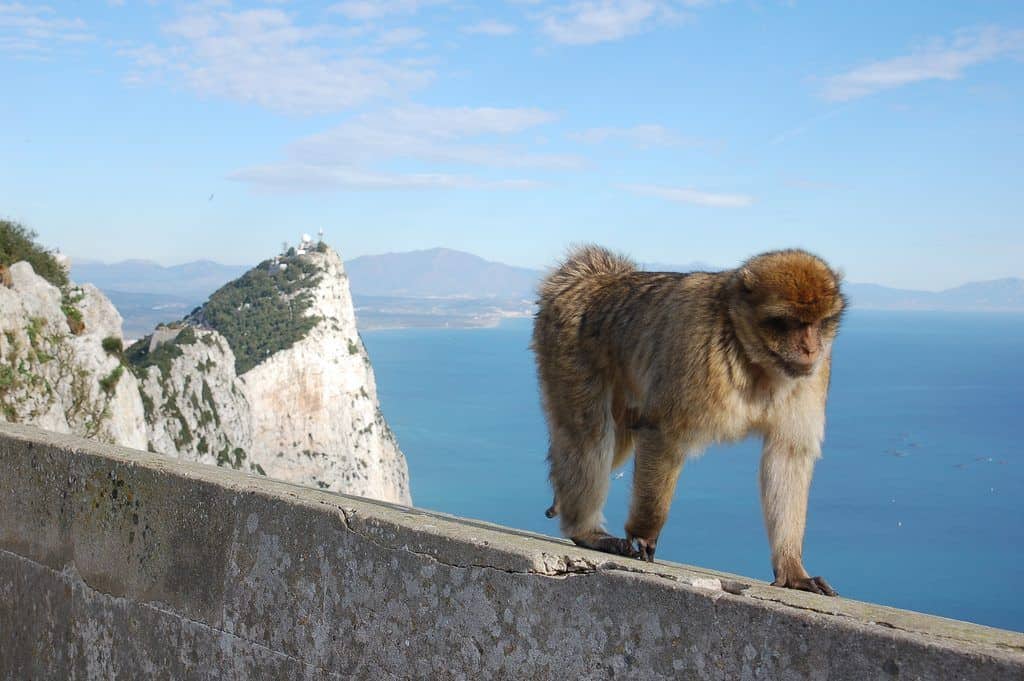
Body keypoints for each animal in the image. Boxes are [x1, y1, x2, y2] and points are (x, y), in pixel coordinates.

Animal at [531, 245, 845, 596]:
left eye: (819, 323)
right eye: (787, 323)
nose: (810, 348)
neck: (752, 357)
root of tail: (594, 279)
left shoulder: (813, 376)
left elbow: (788, 456)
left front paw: (792, 570)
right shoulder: (696, 351)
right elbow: (664, 433)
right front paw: (645, 531)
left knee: (617, 436)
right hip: (570, 347)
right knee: (590, 434)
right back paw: (585, 531)